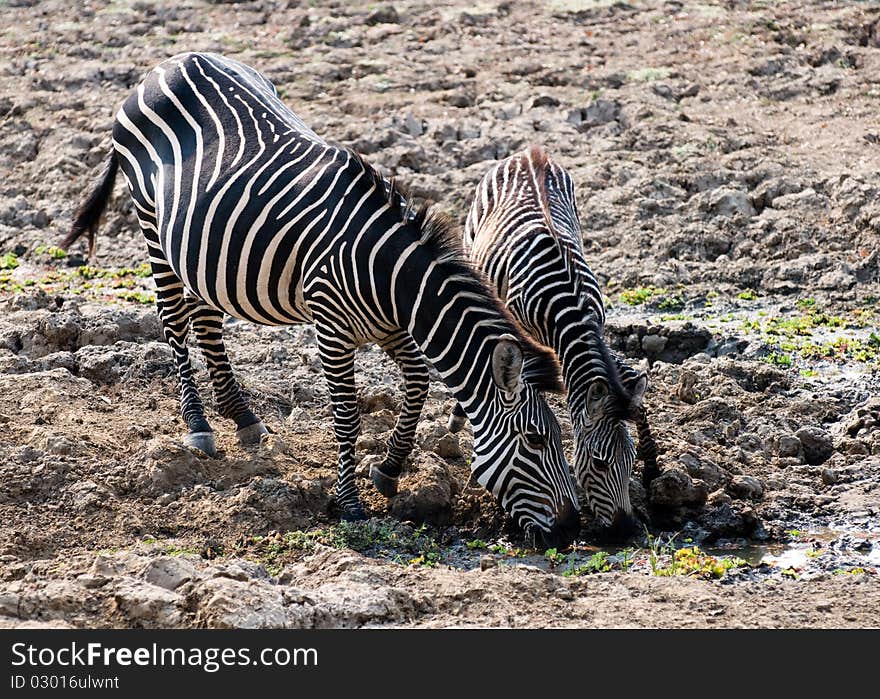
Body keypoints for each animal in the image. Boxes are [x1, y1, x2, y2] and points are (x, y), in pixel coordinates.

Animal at [63, 52, 584, 548]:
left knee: (207, 319)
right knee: (173, 319)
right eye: (536, 440)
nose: (571, 529)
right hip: (151, 223)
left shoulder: (392, 327)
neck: (391, 278)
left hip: (205, 252)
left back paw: (243, 416)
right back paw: (199, 424)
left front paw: (388, 471)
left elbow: (418, 385)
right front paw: (349, 504)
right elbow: (348, 416)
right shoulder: (332, 328)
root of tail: (169, 63)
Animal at [454, 148, 660, 540]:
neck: (569, 308)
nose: (625, 531)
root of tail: (529, 154)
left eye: (630, 461)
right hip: (472, 243)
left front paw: (655, 464)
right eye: (599, 463)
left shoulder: (599, 330)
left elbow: (631, 390)